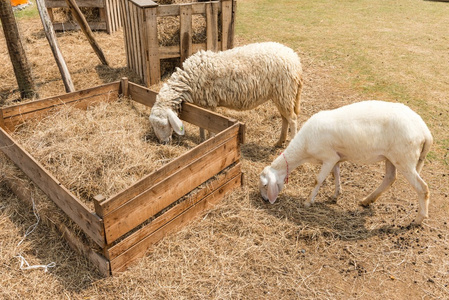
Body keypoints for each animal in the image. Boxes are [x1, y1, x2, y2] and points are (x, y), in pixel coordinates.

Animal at [149, 42, 302, 145]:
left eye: (162, 125)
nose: (163, 143)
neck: (188, 80)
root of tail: (295, 59)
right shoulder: (201, 105)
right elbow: (200, 124)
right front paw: (202, 140)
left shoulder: (209, 103)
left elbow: (208, 125)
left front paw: (210, 141)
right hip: (281, 95)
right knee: (285, 118)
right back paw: (279, 142)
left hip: (285, 92)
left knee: (293, 119)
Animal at [260, 101, 434, 225]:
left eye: (265, 185)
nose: (264, 200)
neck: (304, 148)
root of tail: (425, 132)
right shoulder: (336, 157)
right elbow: (336, 174)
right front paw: (336, 195)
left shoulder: (328, 156)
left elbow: (318, 180)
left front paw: (308, 201)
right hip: (392, 157)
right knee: (390, 178)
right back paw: (367, 200)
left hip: (404, 158)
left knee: (423, 188)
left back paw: (419, 219)